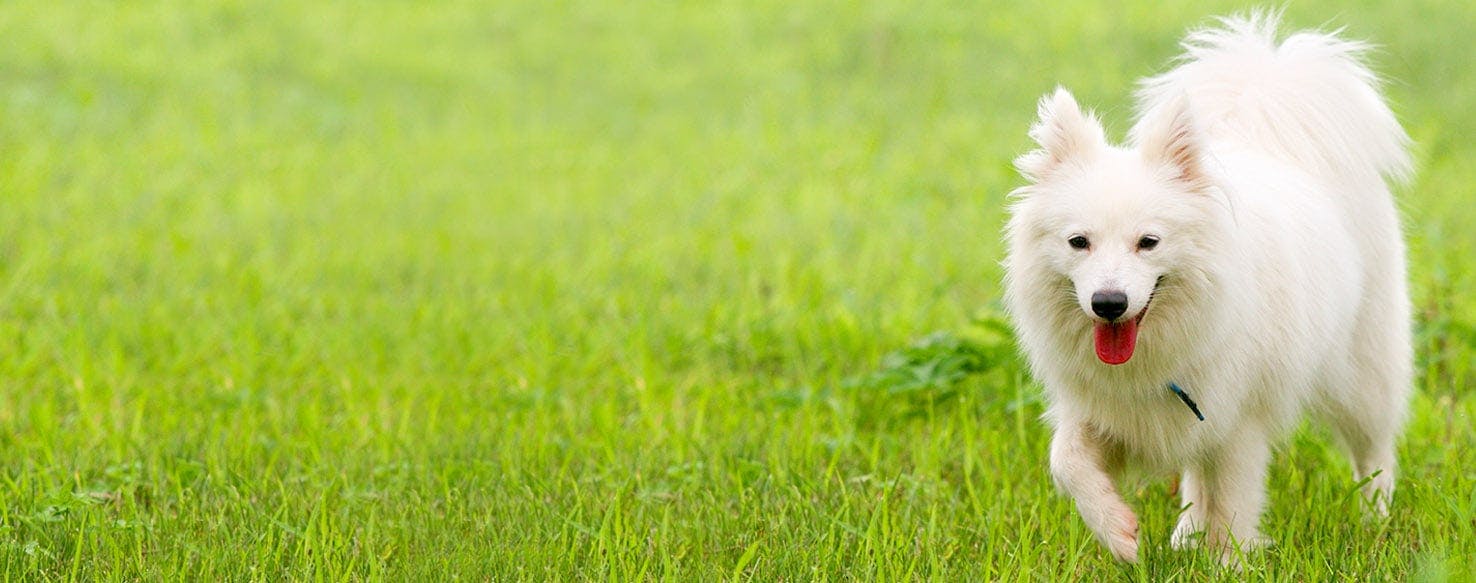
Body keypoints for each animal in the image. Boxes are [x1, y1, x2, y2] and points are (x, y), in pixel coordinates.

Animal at [1009, 12, 1411, 560]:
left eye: (1148, 242)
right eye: (1078, 242)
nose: (1108, 303)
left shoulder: (1238, 422)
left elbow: (1233, 503)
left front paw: (1227, 561)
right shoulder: (1106, 410)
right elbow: (1066, 461)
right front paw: (1120, 534)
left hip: (1362, 374)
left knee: (1374, 450)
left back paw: (1376, 519)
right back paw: (1184, 535)